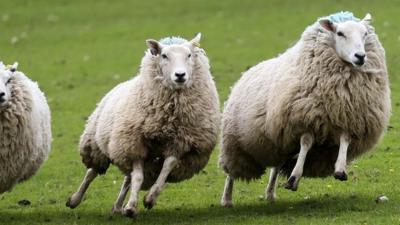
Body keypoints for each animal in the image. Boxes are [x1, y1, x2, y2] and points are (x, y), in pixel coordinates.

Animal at [67, 33, 220, 218]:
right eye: (164, 56)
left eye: (189, 55)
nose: (180, 75)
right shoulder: (135, 144)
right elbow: (138, 177)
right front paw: (132, 207)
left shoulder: (179, 143)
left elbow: (166, 168)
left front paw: (149, 199)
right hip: (98, 145)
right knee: (92, 173)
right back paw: (74, 200)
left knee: (128, 178)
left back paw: (118, 206)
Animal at [219, 11, 390, 207]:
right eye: (340, 33)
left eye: (365, 34)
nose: (360, 56)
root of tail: (246, 72)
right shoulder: (305, 119)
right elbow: (306, 143)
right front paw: (294, 177)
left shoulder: (347, 116)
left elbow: (345, 139)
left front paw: (340, 168)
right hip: (235, 143)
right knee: (231, 173)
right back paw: (227, 199)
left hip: (278, 145)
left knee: (275, 168)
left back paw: (270, 194)